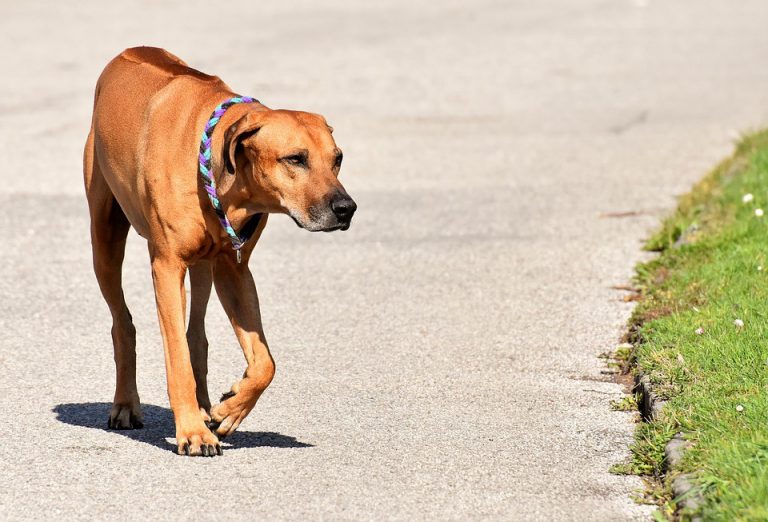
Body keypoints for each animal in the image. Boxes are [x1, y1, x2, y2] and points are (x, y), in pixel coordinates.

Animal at [84, 48, 356, 456]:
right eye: (295, 158)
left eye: (337, 158)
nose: (346, 209)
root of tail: (126, 53)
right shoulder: (166, 266)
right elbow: (176, 359)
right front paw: (193, 433)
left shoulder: (234, 268)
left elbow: (265, 363)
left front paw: (230, 408)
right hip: (105, 240)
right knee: (124, 324)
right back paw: (127, 404)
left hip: (203, 266)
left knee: (195, 334)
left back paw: (204, 405)